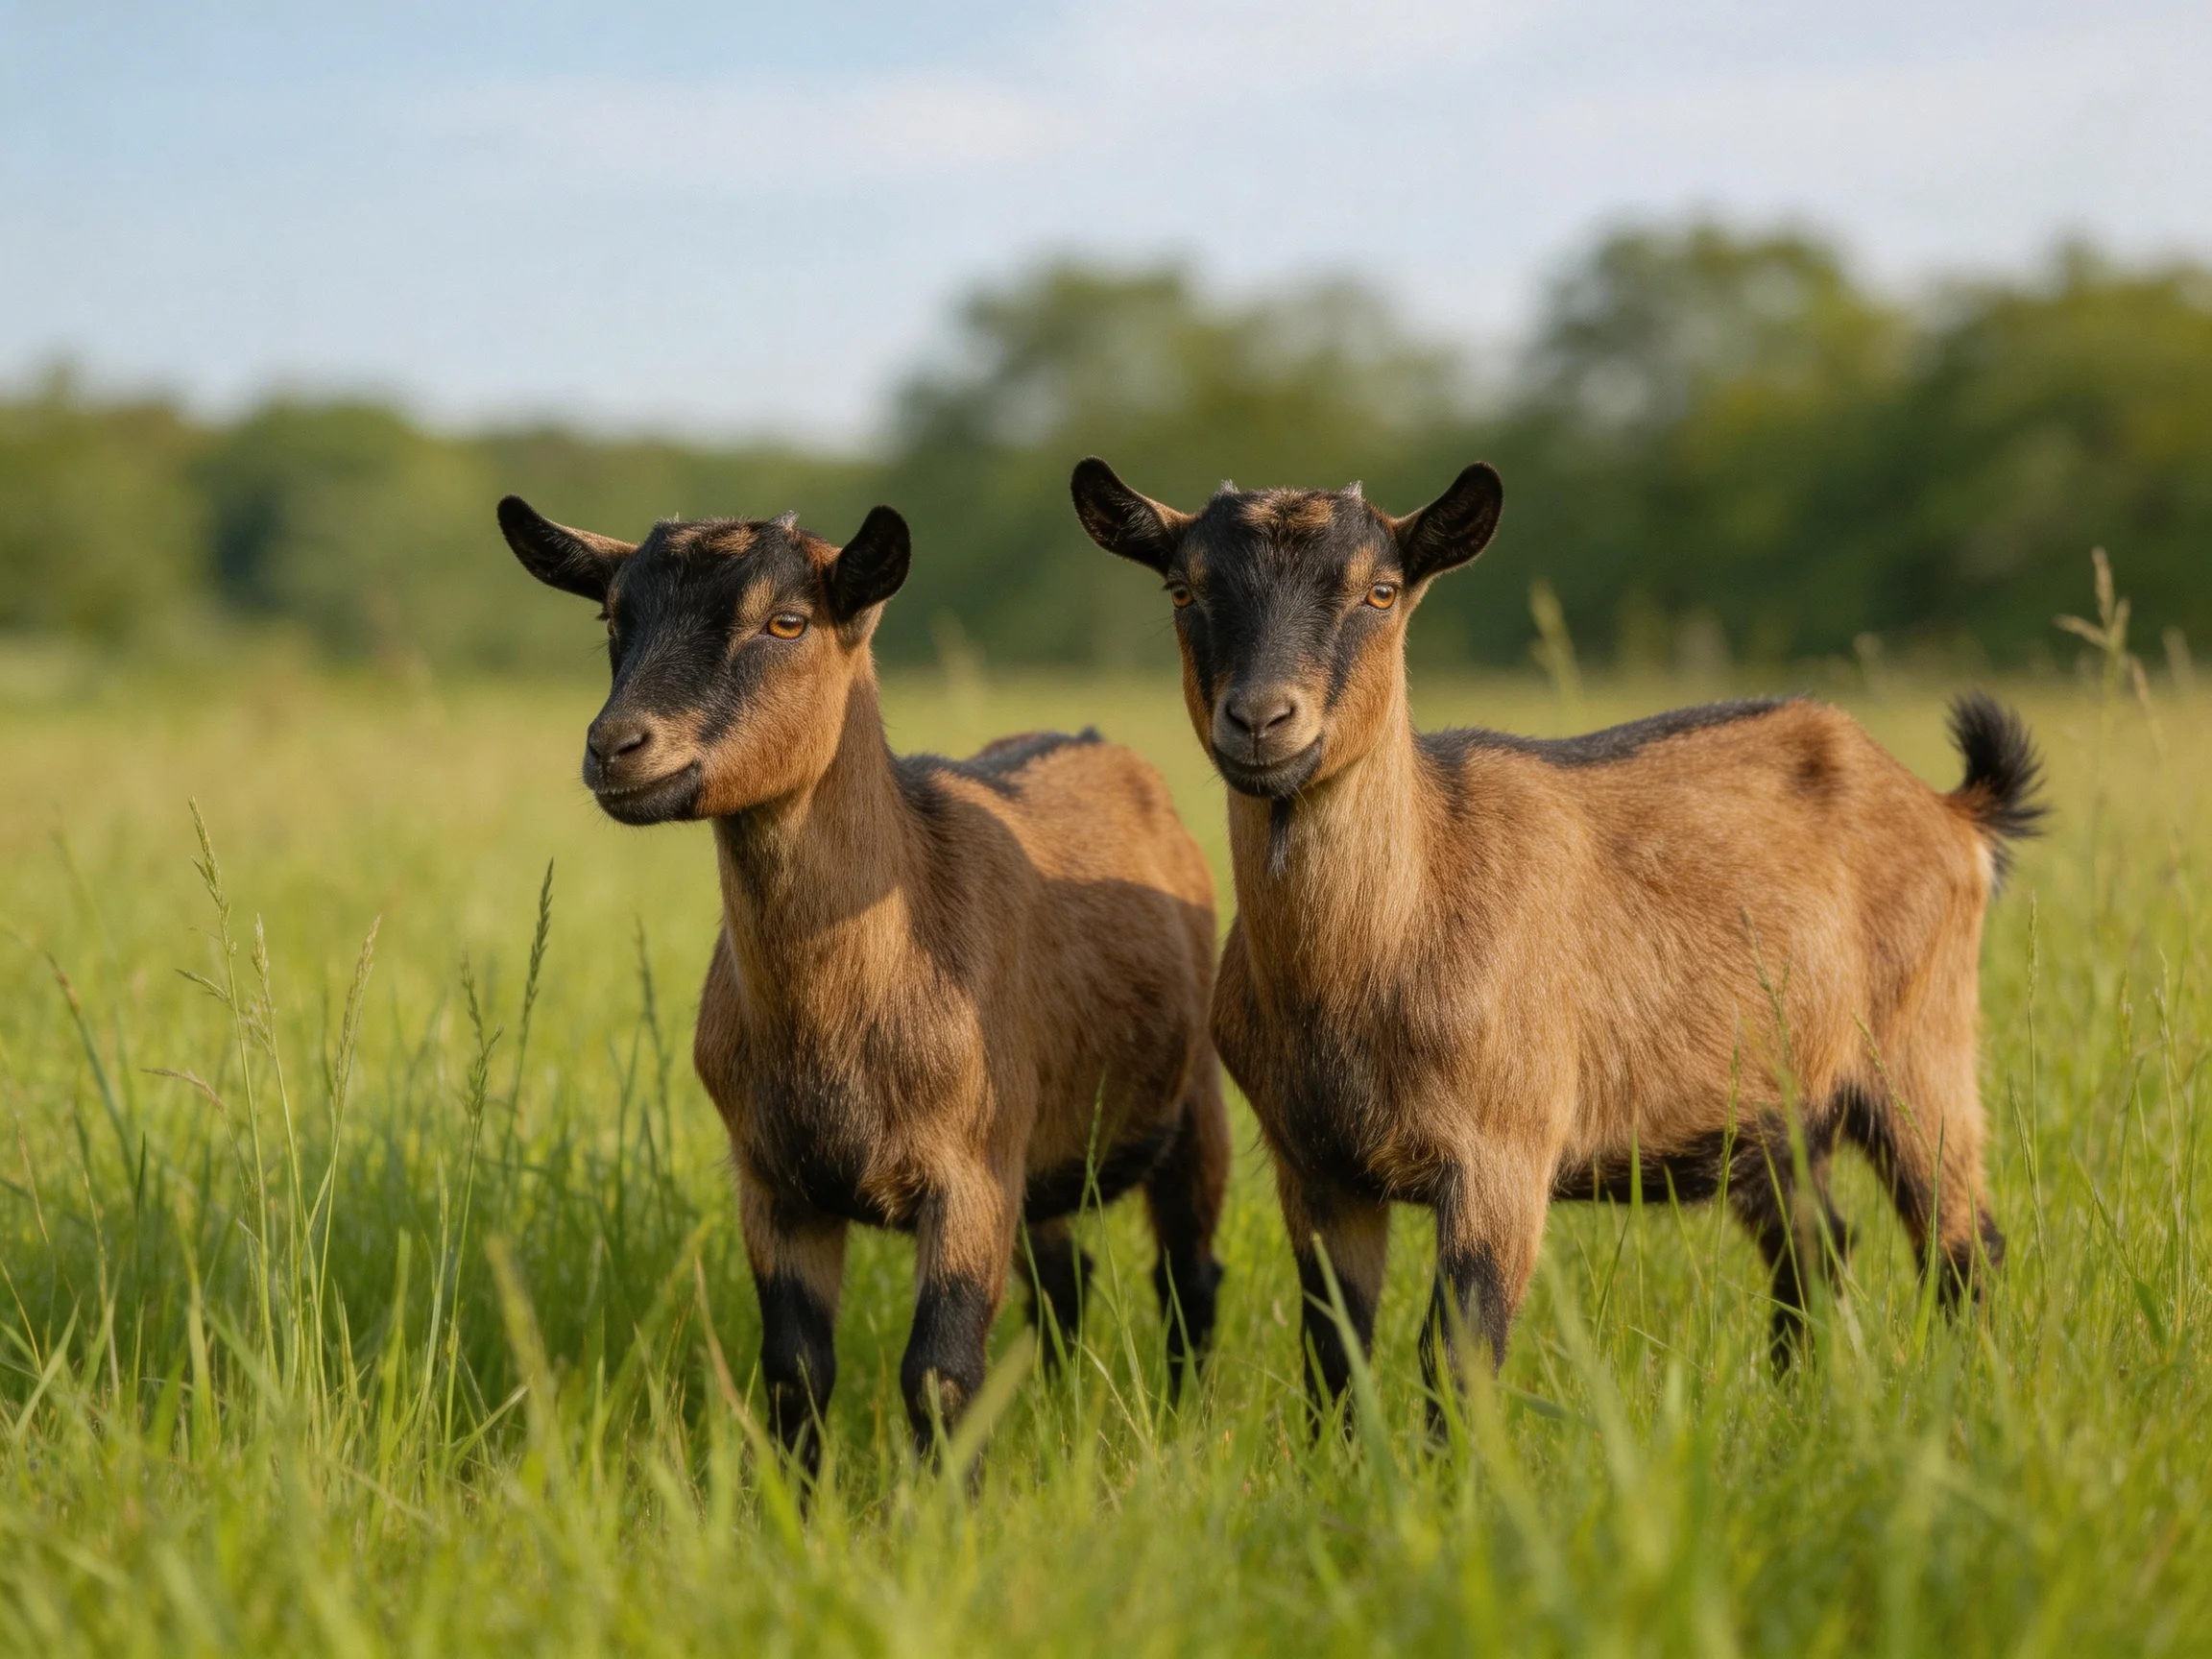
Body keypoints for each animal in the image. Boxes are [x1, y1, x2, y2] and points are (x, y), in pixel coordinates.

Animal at [499, 495, 1228, 1467]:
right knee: (1064, 1277)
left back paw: (1186, 1422)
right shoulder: (774, 1183)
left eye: (787, 621)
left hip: (1192, 1105)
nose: (617, 747)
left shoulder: (971, 1172)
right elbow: (795, 1371)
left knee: (1188, 1275)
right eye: (614, 616)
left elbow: (939, 1374)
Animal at [1070, 456, 2042, 1422]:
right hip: (1778, 1112)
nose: (1263, 720)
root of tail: (1952, 813)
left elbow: (1456, 1355)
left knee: (1964, 1244)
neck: (1387, 939)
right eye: (1184, 588)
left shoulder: (1502, 1156)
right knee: (1817, 1246)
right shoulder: (1315, 1169)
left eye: (1380, 591)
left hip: (1920, 1047)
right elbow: (1335, 1358)